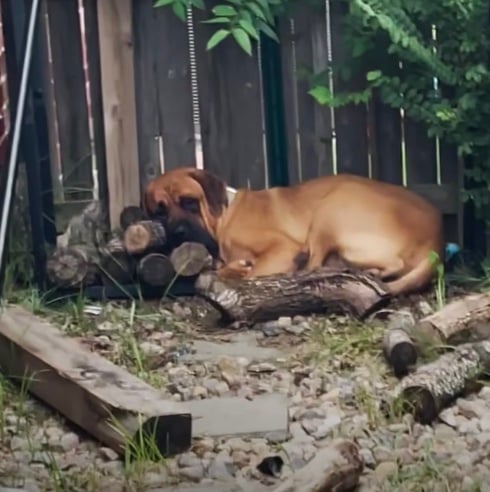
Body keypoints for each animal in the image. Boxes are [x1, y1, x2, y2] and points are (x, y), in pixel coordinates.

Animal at [142, 165, 444, 296]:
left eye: (189, 202)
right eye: (159, 211)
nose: (179, 232)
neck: (223, 216)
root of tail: (436, 241)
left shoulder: (282, 248)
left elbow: (251, 273)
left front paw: (239, 269)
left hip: (332, 206)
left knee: (314, 264)